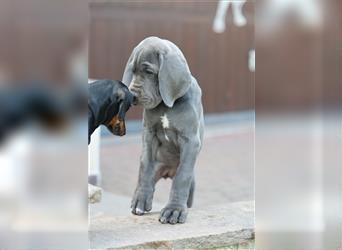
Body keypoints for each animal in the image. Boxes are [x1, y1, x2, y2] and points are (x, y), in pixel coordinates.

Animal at [123, 35, 203, 225]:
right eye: (133, 71)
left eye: (149, 72)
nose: (132, 95)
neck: (167, 104)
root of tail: (168, 171)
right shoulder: (149, 134)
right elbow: (144, 165)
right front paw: (140, 199)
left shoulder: (190, 141)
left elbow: (182, 176)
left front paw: (174, 210)